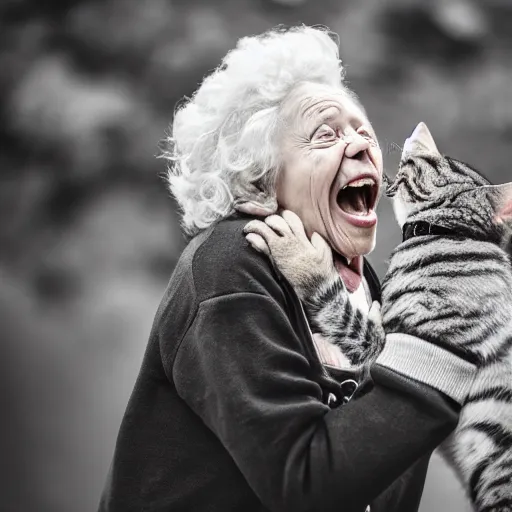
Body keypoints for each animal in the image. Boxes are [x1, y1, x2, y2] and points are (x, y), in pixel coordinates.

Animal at [248, 122, 512, 510]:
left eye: (433, 162)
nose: (412, 141)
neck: (451, 235)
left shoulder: (391, 341)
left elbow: (338, 308)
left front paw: (299, 256)